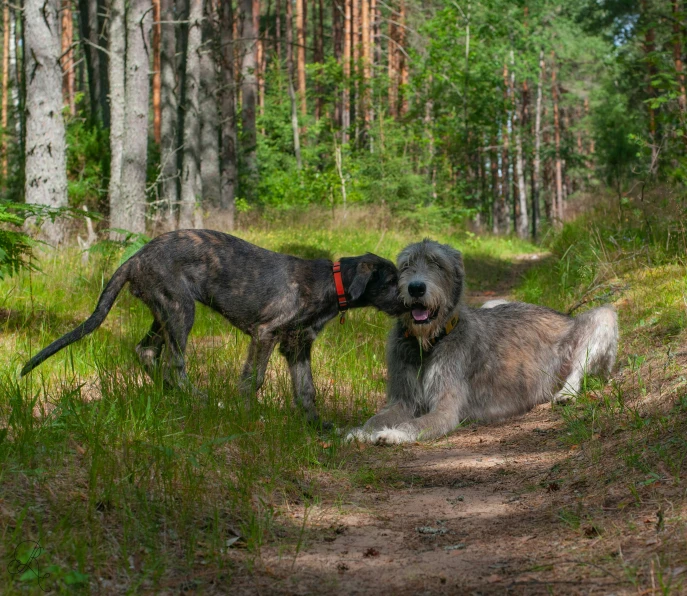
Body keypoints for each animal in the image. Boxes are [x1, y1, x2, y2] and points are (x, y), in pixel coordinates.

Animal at [21, 229, 406, 424]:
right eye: (391, 281)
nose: (412, 303)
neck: (332, 283)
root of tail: (135, 259)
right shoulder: (266, 334)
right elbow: (254, 380)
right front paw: (249, 415)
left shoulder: (297, 346)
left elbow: (306, 390)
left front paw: (316, 426)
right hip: (181, 310)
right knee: (176, 364)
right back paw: (198, 399)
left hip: (164, 312)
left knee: (147, 352)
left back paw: (173, 394)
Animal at [346, 237, 620, 442]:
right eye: (406, 266)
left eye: (438, 264)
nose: (415, 288)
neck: (429, 341)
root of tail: (564, 316)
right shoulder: (403, 399)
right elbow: (378, 417)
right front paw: (361, 432)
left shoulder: (445, 409)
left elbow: (417, 423)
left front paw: (392, 434)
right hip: (493, 302)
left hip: (602, 319)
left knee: (580, 368)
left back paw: (566, 393)